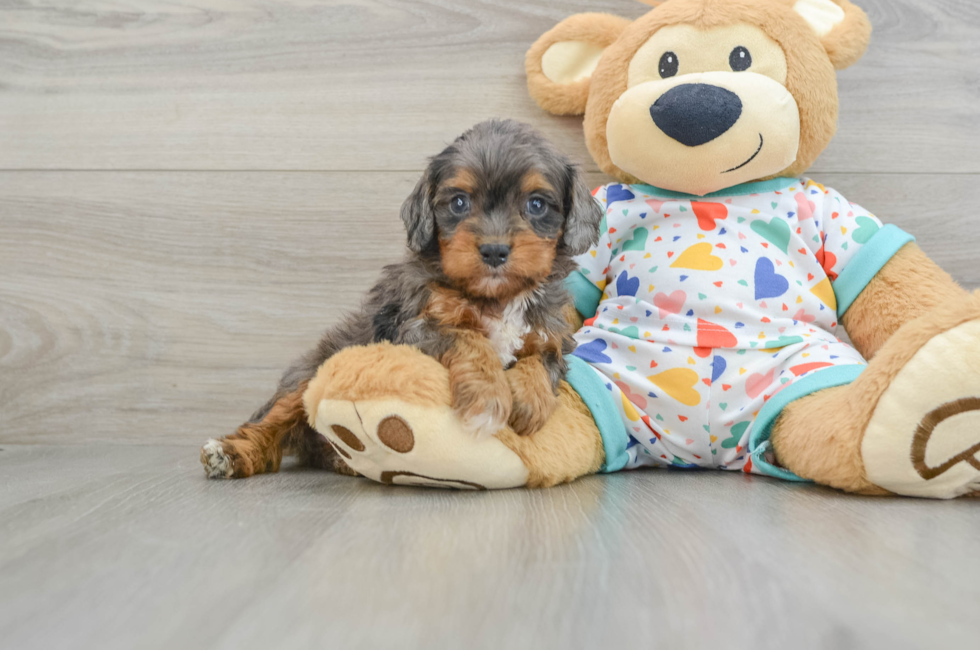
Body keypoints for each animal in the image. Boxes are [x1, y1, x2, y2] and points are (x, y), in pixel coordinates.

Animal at [201, 119, 604, 478]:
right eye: (459, 202)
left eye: (536, 204)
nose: (494, 251)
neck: (499, 297)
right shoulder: (412, 327)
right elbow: (468, 338)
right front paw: (489, 399)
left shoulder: (550, 332)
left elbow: (543, 359)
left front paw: (529, 402)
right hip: (312, 371)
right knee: (274, 421)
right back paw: (231, 453)